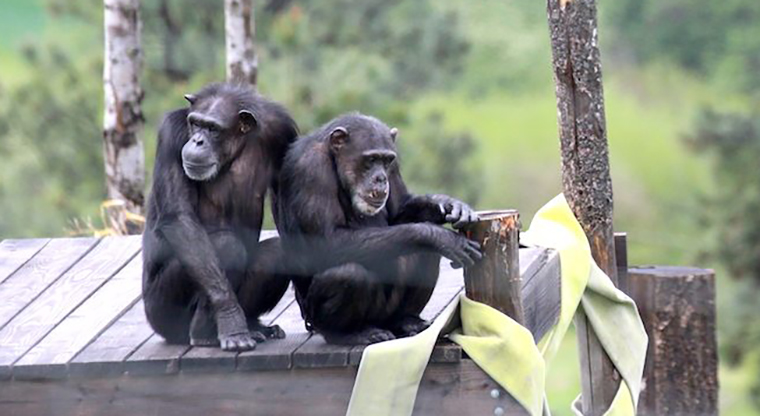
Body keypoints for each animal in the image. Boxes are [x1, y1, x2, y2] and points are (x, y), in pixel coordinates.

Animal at [142, 83, 300, 352]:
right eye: (195, 123)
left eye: (213, 128)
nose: (197, 140)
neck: (237, 146)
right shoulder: (172, 133)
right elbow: (179, 217)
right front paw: (229, 317)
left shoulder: (283, 131)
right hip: (161, 311)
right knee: (226, 246)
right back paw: (205, 332)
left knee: (278, 253)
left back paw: (254, 325)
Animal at [278, 113, 480, 344]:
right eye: (371, 160)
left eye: (386, 161)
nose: (381, 177)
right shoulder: (310, 169)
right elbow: (327, 241)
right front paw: (436, 236)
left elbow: (398, 211)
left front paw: (448, 204)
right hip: (320, 318)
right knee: (349, 274)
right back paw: (349, 334)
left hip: (387, 313)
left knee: (423, 254)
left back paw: (407, 321)